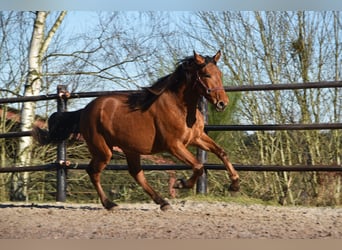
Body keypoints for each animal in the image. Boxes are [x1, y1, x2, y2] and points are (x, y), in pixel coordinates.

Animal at [33, 50, 239, 211]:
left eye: (219, 73)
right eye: (205, 74)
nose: (222, 103)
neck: (180, 107)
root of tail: (85, 110)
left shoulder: (197, 138)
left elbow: (222, 153)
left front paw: (235, 184)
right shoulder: (174, 146)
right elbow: (198, 166)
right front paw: (182, 184)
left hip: (130, 149)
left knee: (136, 173)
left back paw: (162, 202)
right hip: (103, 150)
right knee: (93, 171)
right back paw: (110, 204)